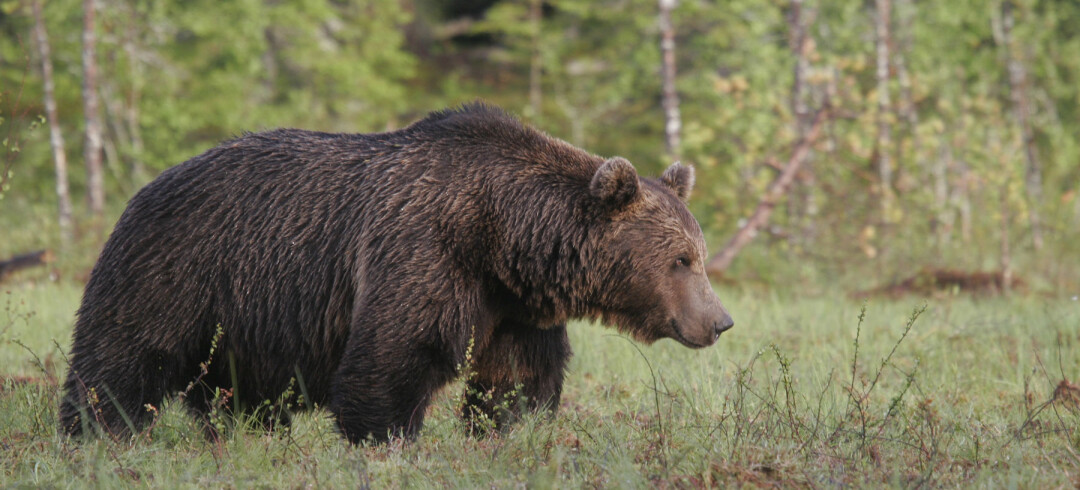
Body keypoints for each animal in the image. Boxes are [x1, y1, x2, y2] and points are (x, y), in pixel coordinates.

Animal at [59, 103, 734, 443]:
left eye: (698, 253)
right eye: (681, 260)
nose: (721, 321)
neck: (505, 238)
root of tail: (148, 185)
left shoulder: (514, 307)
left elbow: (517, 377)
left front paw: (507, 430)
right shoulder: (425, 250)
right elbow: (395, 354)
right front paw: (387, 440)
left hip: (247, 313)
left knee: (236, 389)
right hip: (178, 268)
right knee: (123, 357)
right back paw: (98, 432)